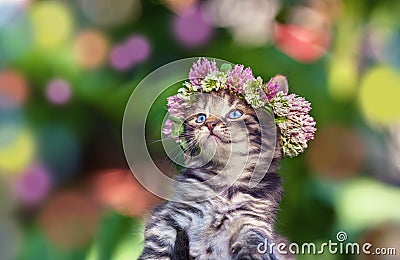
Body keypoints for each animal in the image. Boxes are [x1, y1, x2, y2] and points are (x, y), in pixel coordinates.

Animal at [139, 90, 292, 258]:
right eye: (201, 118)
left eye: (235, 114)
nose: (210, 123)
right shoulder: (170, 217)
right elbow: (156, 251)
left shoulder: (253, 219)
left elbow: (255, 240)